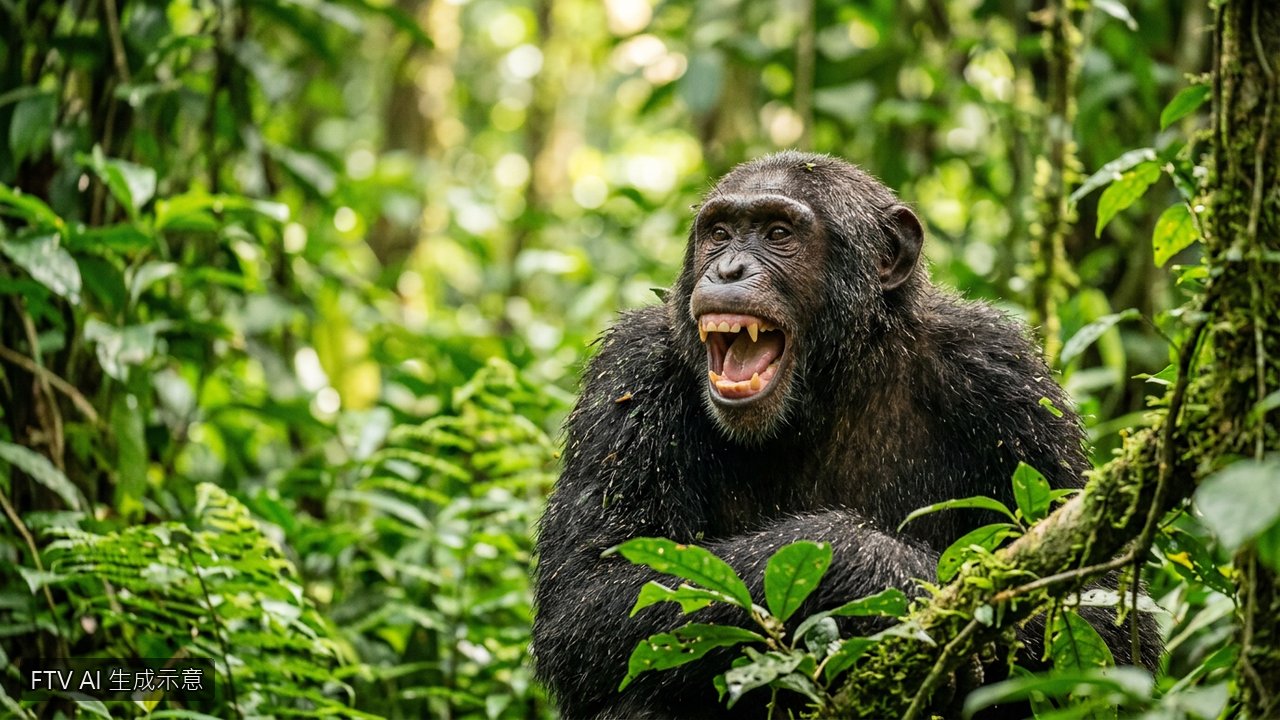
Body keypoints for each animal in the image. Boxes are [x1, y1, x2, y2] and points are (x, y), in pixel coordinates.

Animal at [532, 152, 1157, 719]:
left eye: (778, 233)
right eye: (719, 233)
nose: (728, 269)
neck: (830, 384)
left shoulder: (1010, 382)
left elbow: (1108, 621)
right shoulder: (630, 373)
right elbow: (590, 593)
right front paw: (883, 573)